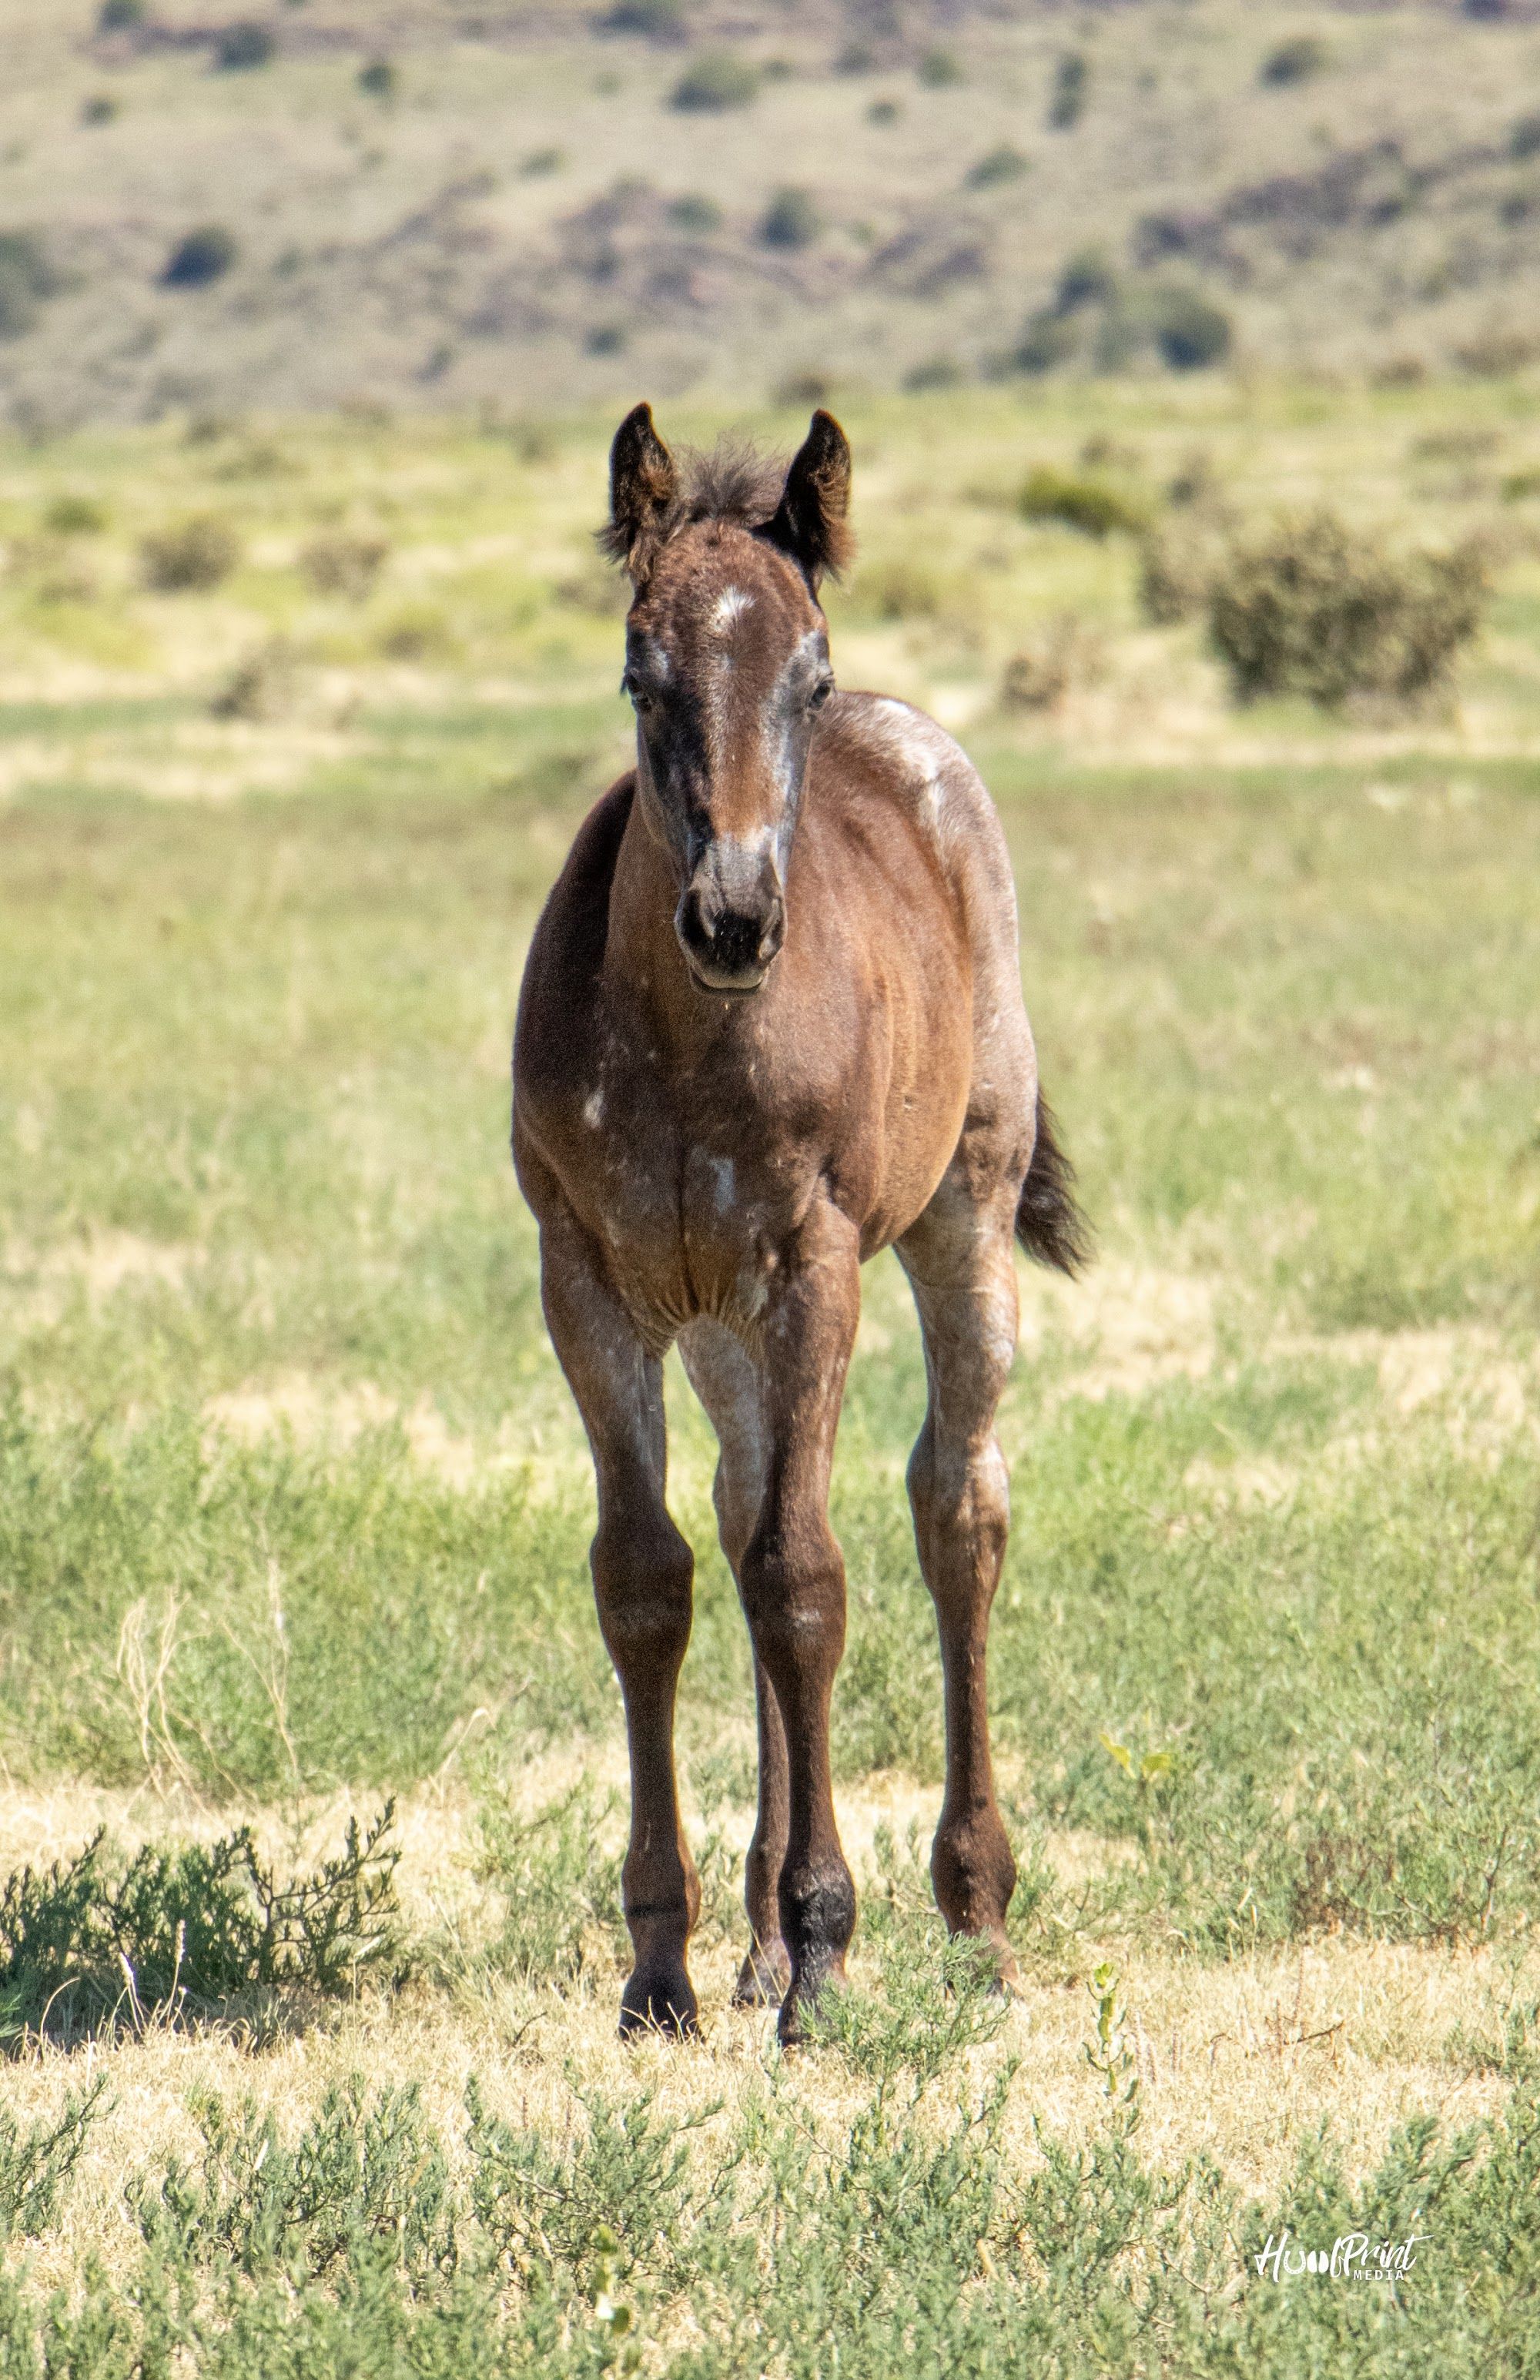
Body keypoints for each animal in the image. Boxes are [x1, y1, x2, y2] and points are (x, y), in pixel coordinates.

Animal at [512, 403, 1087, 2043]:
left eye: (806, 675)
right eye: (639, 670)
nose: (734, 918)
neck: (688, 1037)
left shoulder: (813, 1267)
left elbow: (803, 1578)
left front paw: (828, 1951)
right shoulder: (590, 1282)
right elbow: (651, 1579)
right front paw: (665, 1963)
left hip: (958, 1215)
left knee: (957, 1506)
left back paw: (969, 1914)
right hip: (716, 1324)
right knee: (741, 1497)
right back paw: (760, 1936)